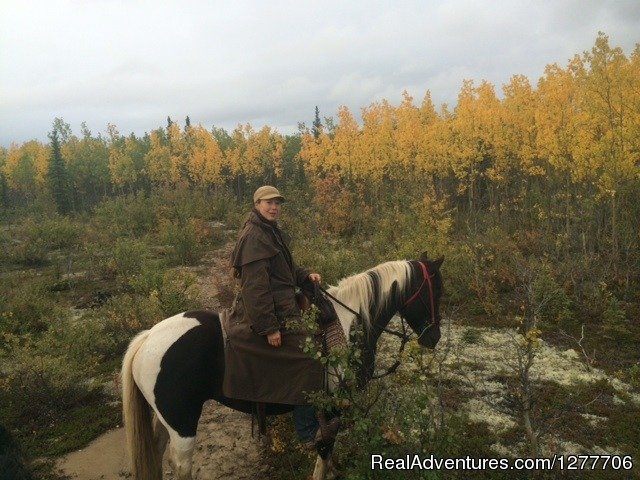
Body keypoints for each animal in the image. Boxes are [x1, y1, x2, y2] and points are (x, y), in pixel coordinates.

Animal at [120, 253, 442, 478]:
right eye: (434, 291)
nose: (434, 337)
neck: (349, 324)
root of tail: (147, 338)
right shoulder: (332, 407)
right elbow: (325, 449)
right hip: (183, 424)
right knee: (180, 464)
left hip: (164, 419)